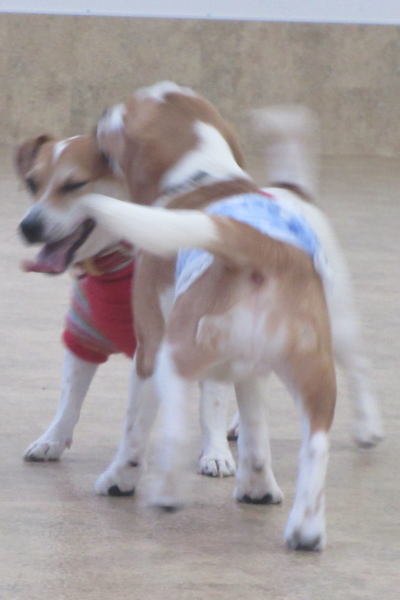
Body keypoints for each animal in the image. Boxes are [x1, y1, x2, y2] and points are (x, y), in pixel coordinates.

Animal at [16, 131, 236, 479]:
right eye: (31, 183)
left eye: (74, 184)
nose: (28, 226)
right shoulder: (83, 337)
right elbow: (69, 399)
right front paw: (52, 440)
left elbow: (210, 406)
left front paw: (215, 453)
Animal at [72, 81, 382, 551]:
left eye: (126, 112)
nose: (104, 110)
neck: (205, 173)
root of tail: (263, 248)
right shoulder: (248, 372)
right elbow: (256, 435)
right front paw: (257, 487)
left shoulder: (148, 350)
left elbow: (135, 430)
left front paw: (119, 480)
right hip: (312, 369)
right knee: (315, 445)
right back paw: (306, 529)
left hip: (176, 354)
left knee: (177, 430)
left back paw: (166, 493)